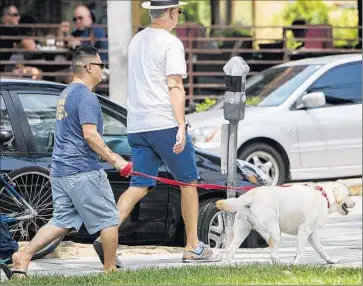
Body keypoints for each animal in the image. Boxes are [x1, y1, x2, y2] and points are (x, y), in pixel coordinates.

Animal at [218, 182, 356, 264]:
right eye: (348, 194)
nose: (354, 203)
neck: (325, 196)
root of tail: (249, 196)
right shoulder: (304, 230)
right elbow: (300, 251)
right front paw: (295, 264)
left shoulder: (312, 234)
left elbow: (321, 249)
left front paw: (330, 260)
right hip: (274, 232)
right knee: (273, 255)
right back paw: (281, 266)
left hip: (241, 231)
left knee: (230, 250)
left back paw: (227, 267)